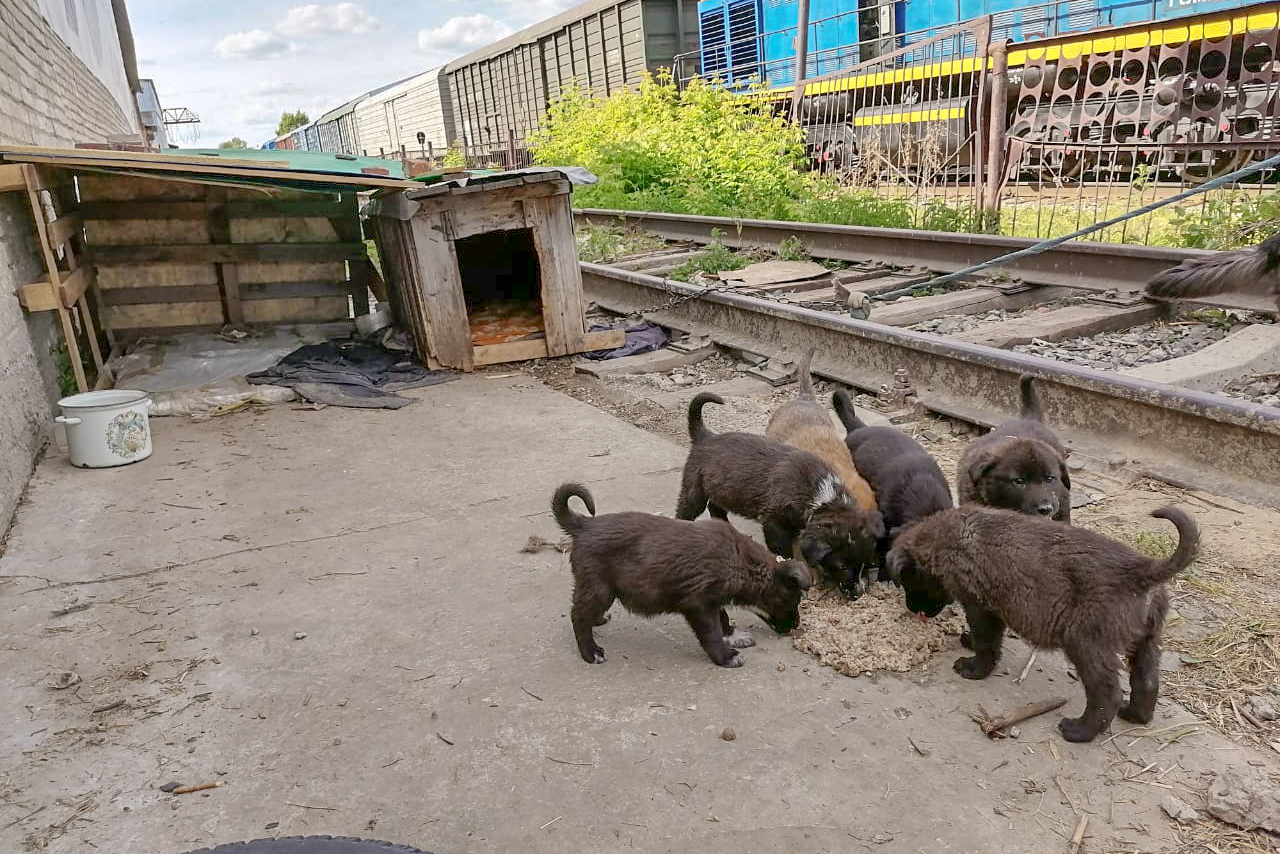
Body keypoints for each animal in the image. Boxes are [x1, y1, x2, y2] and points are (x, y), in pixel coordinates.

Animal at [675, 391, 885, 588]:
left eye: (866, 563)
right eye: (842, 567)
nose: (858, 594)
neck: (820, 497)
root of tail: (705, 436)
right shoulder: (774, 522)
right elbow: (784, 550)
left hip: (721, 489)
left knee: (715, 507)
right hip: (694, 490)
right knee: (685, 511)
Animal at [880, 507, 1198, 742]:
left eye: (909, 583)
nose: (914, 610)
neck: (945, 538)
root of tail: (1141, 570)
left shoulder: (980, 606)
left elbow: (987, 643)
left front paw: (973, 669)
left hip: (1086, 644)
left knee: (1106, 692)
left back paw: (1079, 731)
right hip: (1147, 639)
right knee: (1147, 681)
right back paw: (1134, 714)